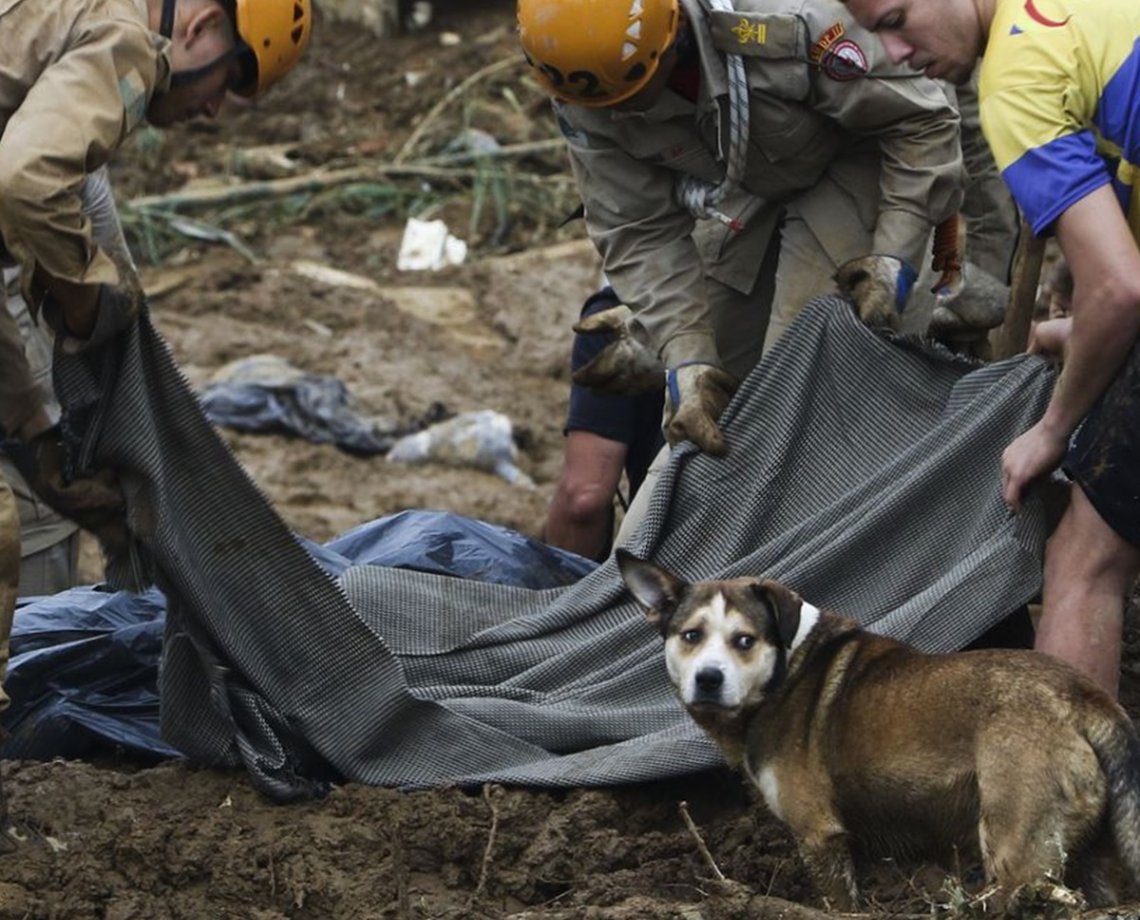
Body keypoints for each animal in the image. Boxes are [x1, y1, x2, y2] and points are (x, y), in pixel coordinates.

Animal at [620, 549, 1140, 912]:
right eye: (690, 635)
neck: (786, 669)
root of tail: (1083, 697)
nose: (708, 679)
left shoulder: (820, 836)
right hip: (1091, 850)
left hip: (1017, 851)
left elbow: (839, 904)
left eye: (744, 640)